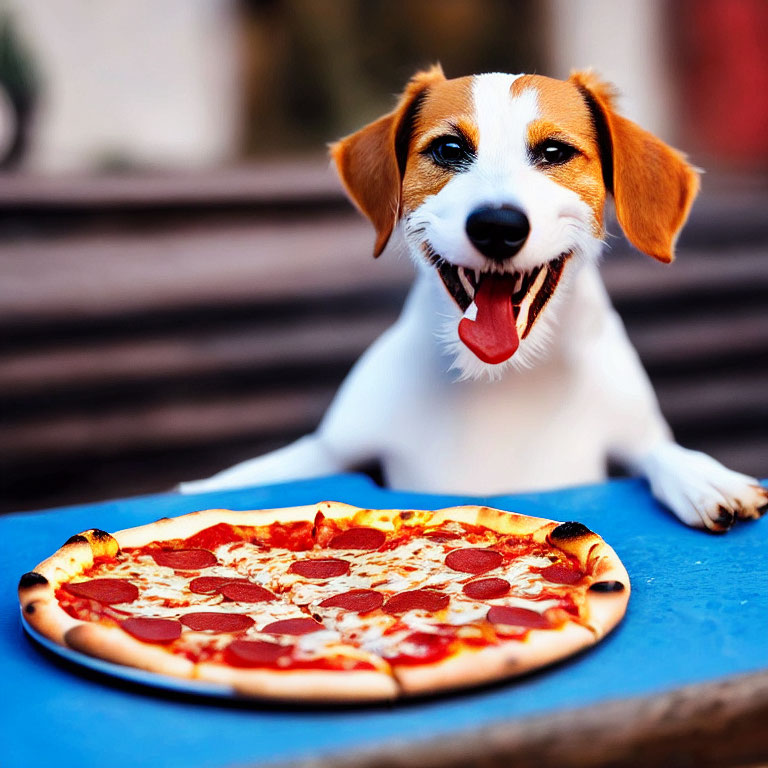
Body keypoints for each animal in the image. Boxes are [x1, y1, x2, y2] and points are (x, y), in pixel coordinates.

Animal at [182, 66, 768, 532]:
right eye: (448, 149)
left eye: (554, 152)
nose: (497, 225)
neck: (497, 379)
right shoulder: (330, 447)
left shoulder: (630, 432)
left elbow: (660, 451)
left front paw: (701, 475)